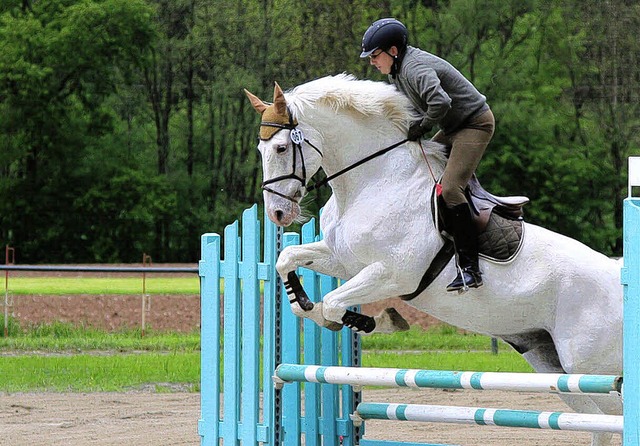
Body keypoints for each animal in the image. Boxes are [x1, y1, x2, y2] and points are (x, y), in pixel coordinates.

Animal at [244, 74, 620, 446]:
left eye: (280, 148)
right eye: (261, 150)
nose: (278, 214)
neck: (374, 182)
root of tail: (618, 276)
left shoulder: (392, 275)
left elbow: (335, 303)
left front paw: (375, 322)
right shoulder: (342, 261)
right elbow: (287, 260)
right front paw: (305, 304)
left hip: (589, 365)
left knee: (614, 413)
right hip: (554, 365)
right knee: (598, 422)